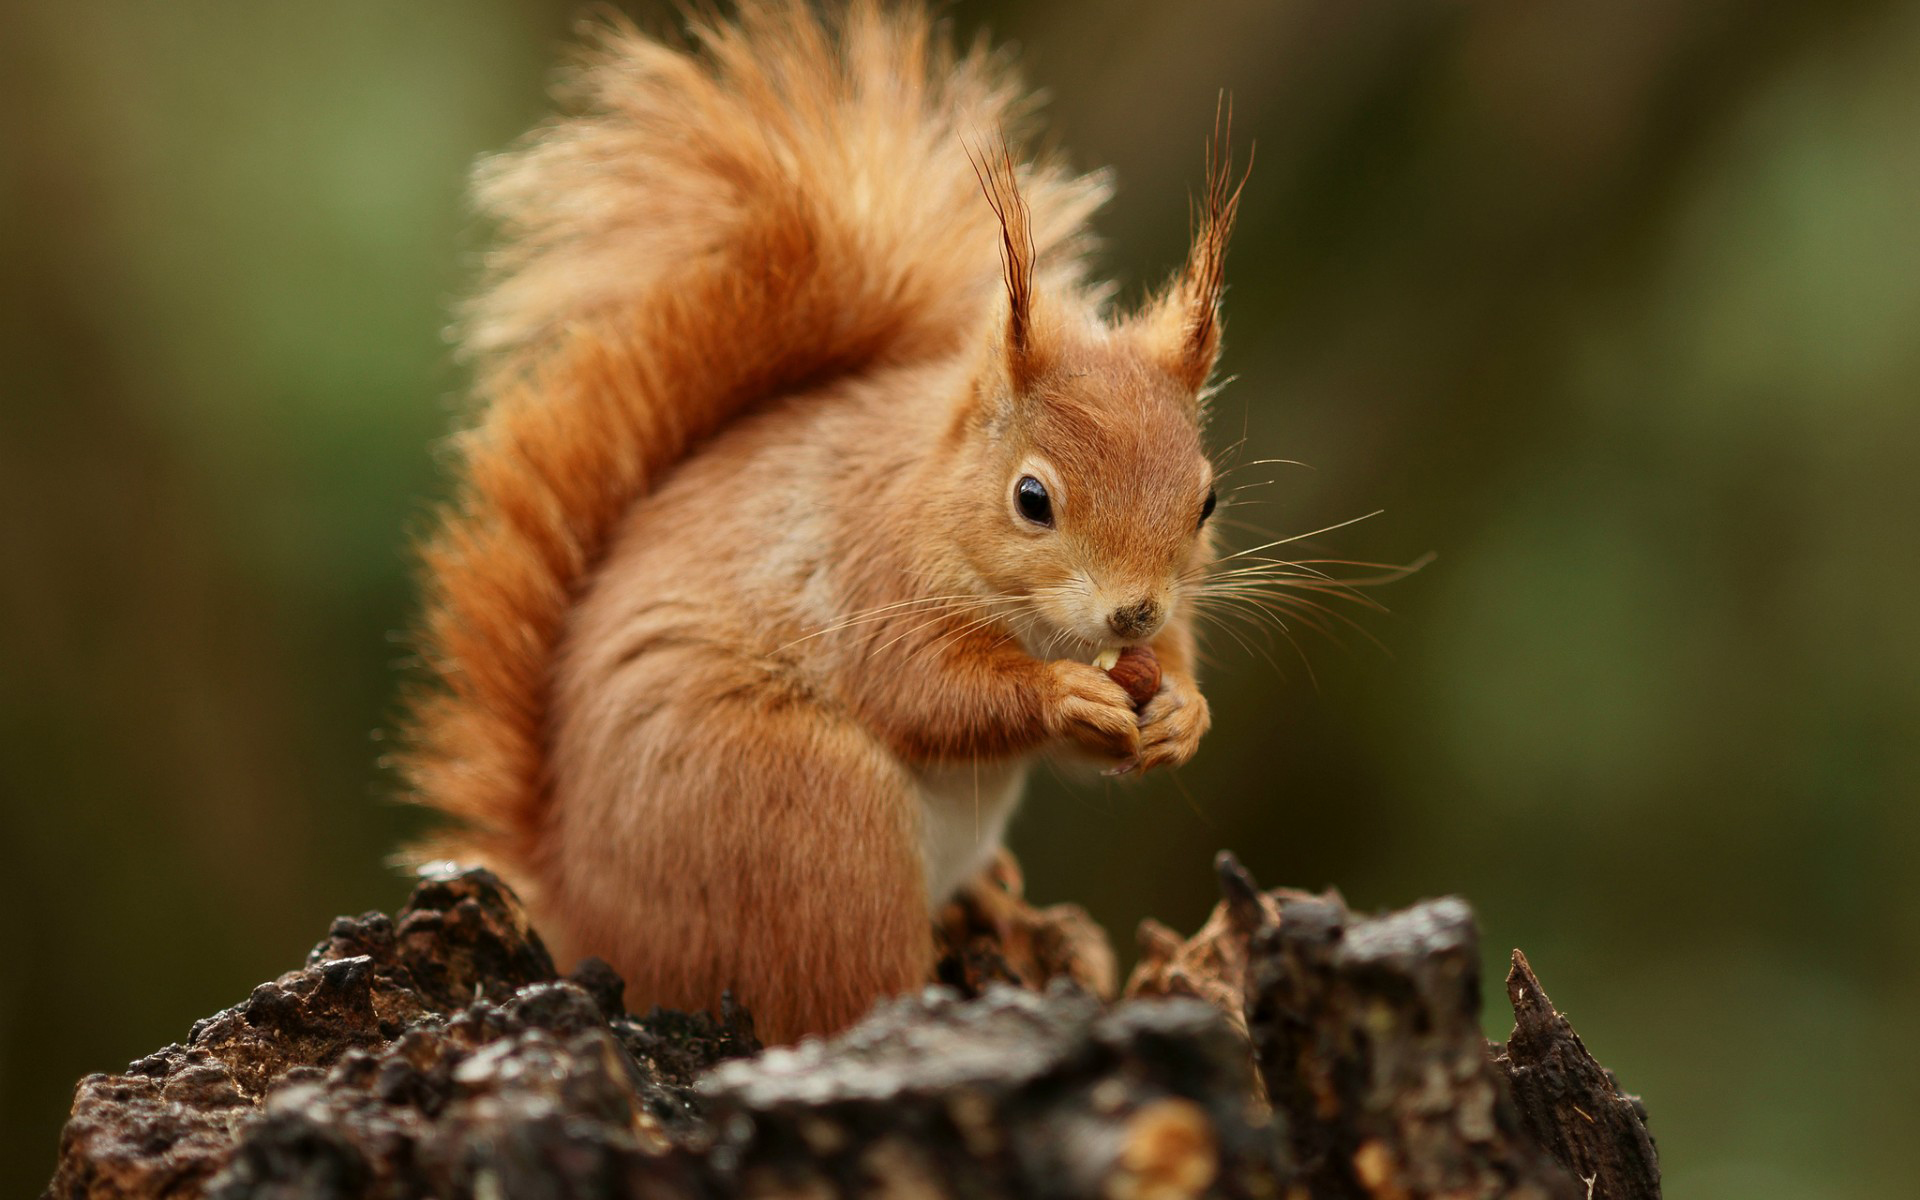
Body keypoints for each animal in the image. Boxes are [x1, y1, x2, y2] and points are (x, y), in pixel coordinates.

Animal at [407, 0, 1244, 1044]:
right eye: (1032, 499)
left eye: (1206, 499)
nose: (1132, 613)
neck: (932, 491)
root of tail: (585, 917)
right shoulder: (869, 572)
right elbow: (925, 688)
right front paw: (1065, 694)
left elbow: (1162, 672)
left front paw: (1180, 712)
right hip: (808, 821)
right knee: (838, 988)